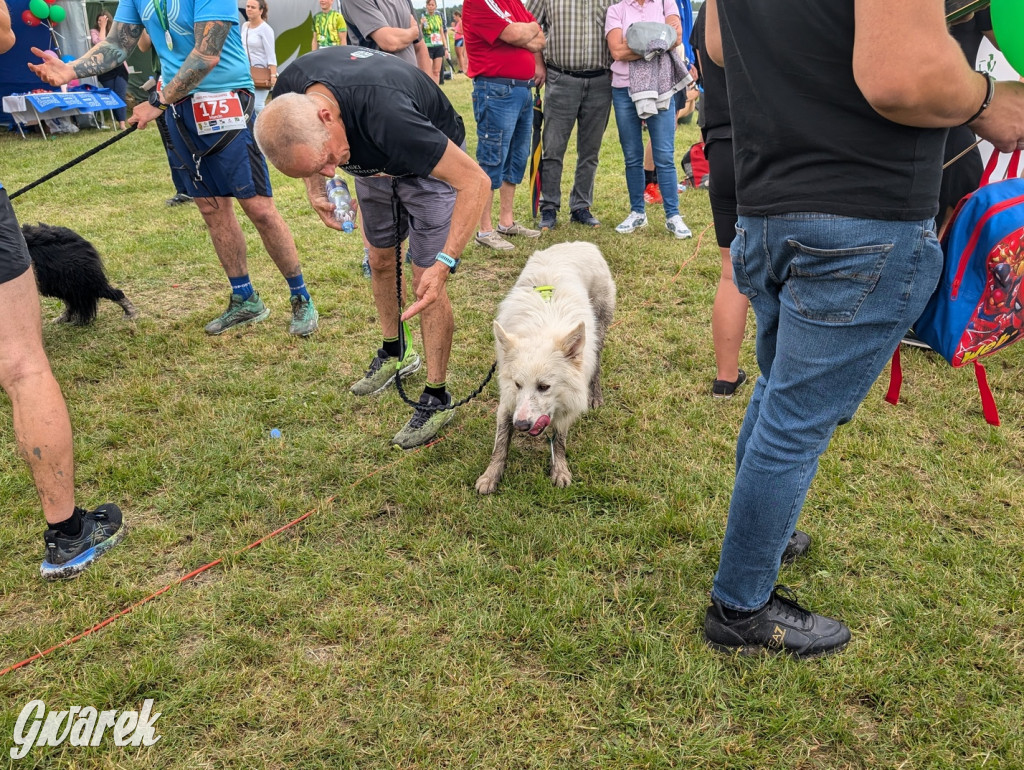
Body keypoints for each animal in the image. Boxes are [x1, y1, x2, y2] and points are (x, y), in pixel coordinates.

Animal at [473, 240, 610, 493]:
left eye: (544, 387)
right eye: (518, 384)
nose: (521, 425)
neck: (543, 328)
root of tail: (579, 243)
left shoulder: (567, 405)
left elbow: (560, 440)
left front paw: (560, 469)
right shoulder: (508, 401)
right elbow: (501, 442)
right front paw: (491, 475)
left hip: (599, 332)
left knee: (596, 365)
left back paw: (595, 395)